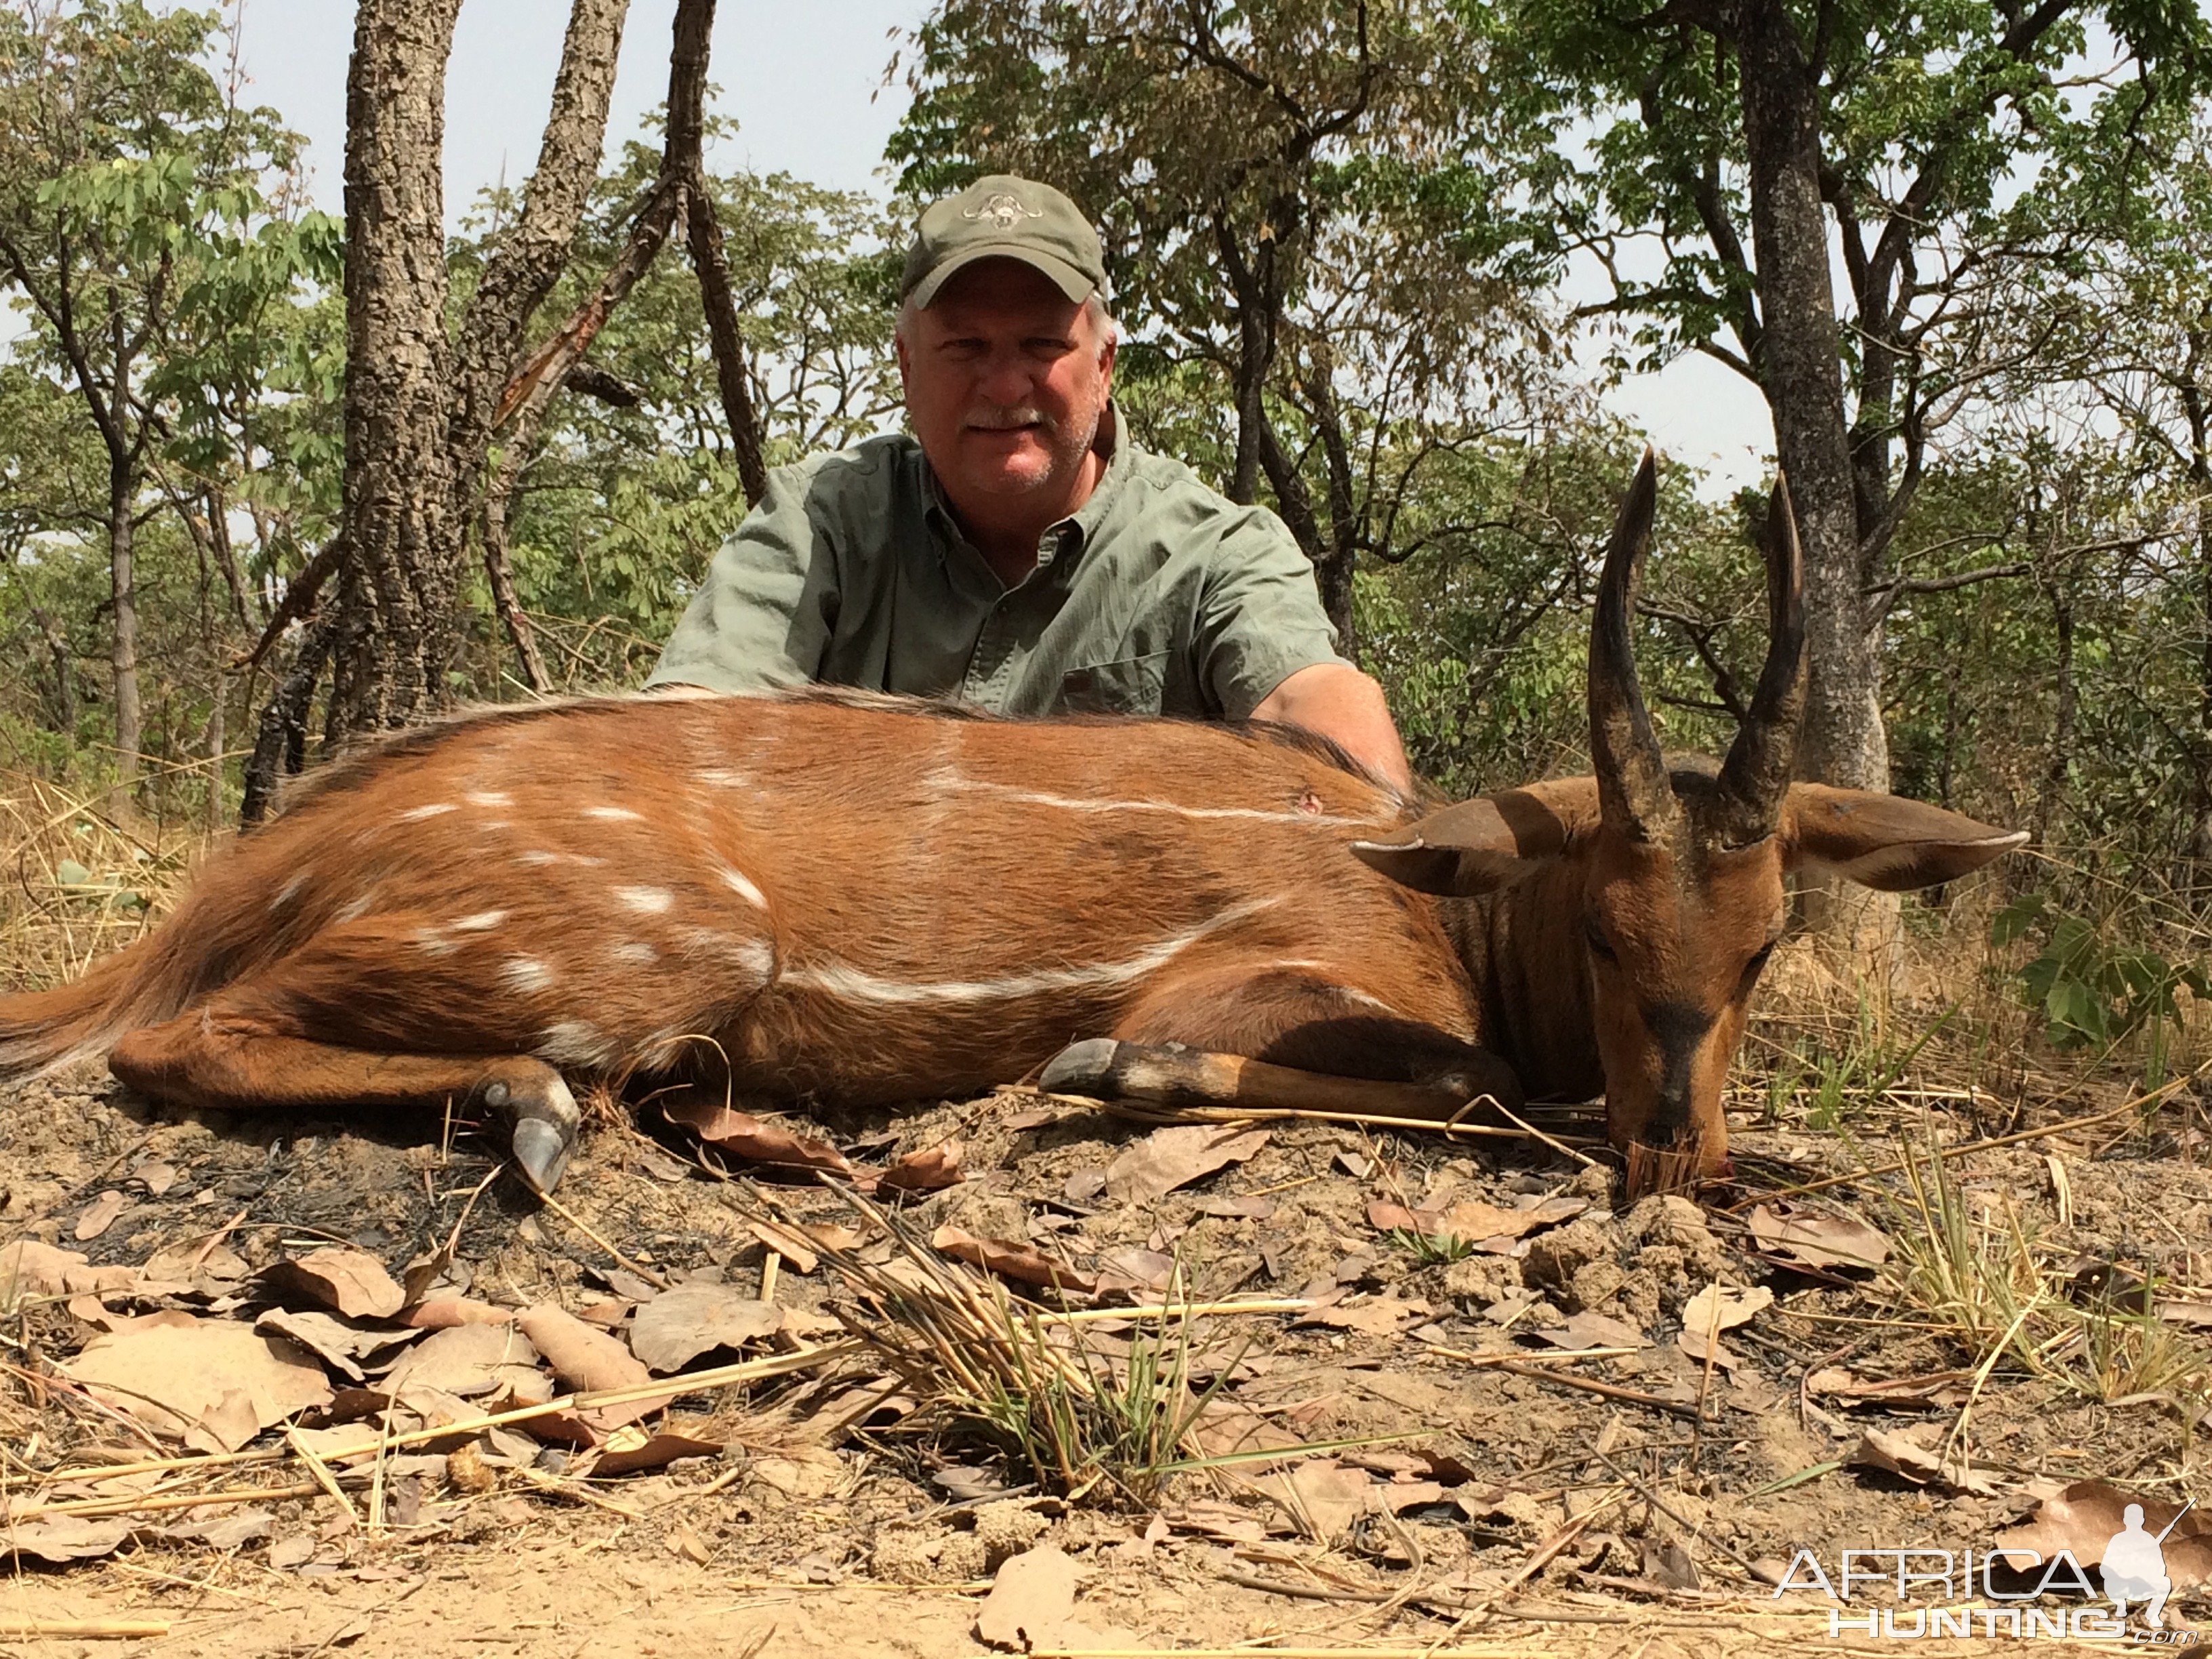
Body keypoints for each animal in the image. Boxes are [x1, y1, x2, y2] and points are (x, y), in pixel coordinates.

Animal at [0, 462, 2026, 1194]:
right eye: (1604, 925)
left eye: (1766, 940)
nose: (1683, 1153)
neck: (1449, 903)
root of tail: (243, 872)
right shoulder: (1275, 980)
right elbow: (1445, 1076)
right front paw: (1108, 1074)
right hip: (668, 942)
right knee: (169, 1044)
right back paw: (535, 1106)